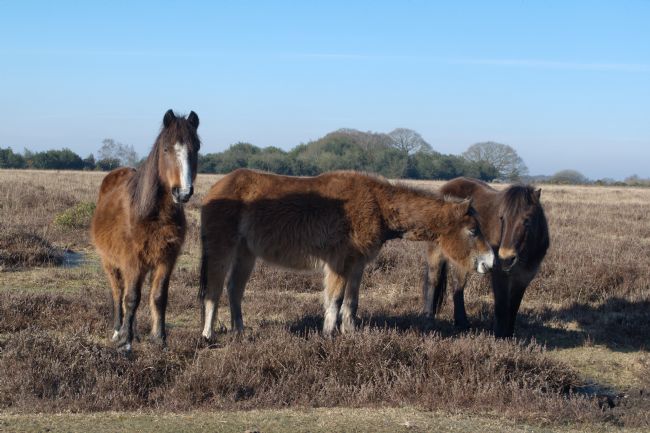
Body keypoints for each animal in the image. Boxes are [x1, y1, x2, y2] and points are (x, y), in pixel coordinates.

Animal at [91, 109, 200, 351]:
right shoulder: (132, 260)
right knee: (118, 293)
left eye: (196, 147)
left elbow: (158, 297)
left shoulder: (166, 259)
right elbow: (131, 298)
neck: (153, 214)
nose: (183, 192)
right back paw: (118, 331)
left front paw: (159, 339)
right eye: (167, 148)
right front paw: (125, 342)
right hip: (110, 262)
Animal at [199, 169, 495, 339]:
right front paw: (329, 335)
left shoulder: (357, 264)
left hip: (246, 253)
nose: (490, 261)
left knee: (234, 289)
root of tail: (216, 189)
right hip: (221, 248)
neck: (377, 204)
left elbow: (351, 301)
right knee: (214, 289)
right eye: (472, 230)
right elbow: (335, 300)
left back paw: (240, 332)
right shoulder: (339, 262)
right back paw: (207, 335)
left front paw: (350, 333)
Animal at [422, 177, 549, 338]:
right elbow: (501, 305)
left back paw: (462, 323)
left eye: (527, 220)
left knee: (458, 285)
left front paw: (509, 334)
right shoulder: (500, 274)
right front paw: (499, 336)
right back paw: (428, 319)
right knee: (433, 280)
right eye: (502, 219)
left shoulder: (524, 278)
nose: (505, 258)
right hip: (436, 252)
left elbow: (514, 306)